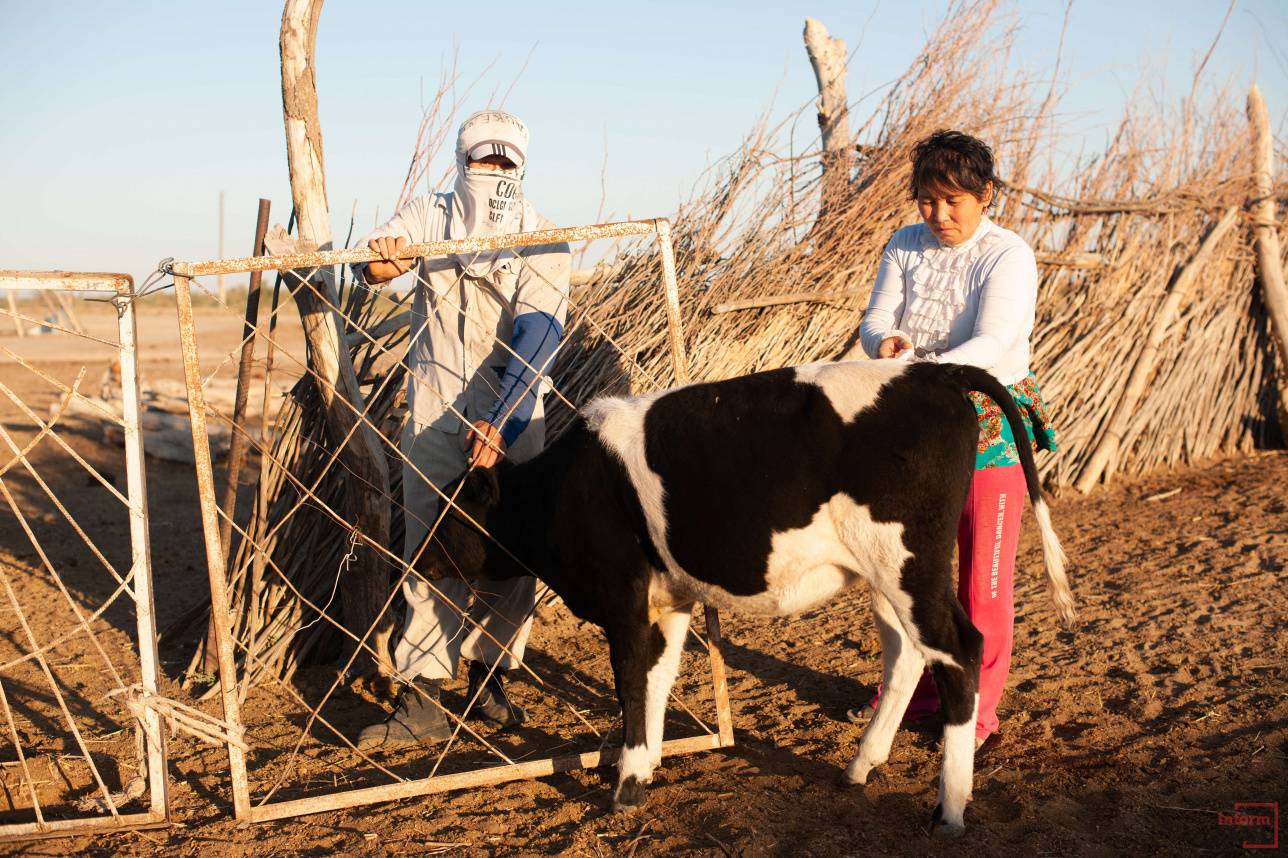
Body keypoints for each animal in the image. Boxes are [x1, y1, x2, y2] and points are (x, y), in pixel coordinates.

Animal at [417, 358, 1071, 829]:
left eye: (447, 511)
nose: (417, 560)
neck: (559, 489)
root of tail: (934, 371)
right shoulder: (669, 600)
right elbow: (657, 679)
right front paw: (645, 767)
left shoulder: (622, 601)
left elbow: (630, 684)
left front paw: (625, 785)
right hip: (888, 577)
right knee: (908, 654)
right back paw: (861, 766)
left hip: (909, 564)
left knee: (960, 650)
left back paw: (949, 809)